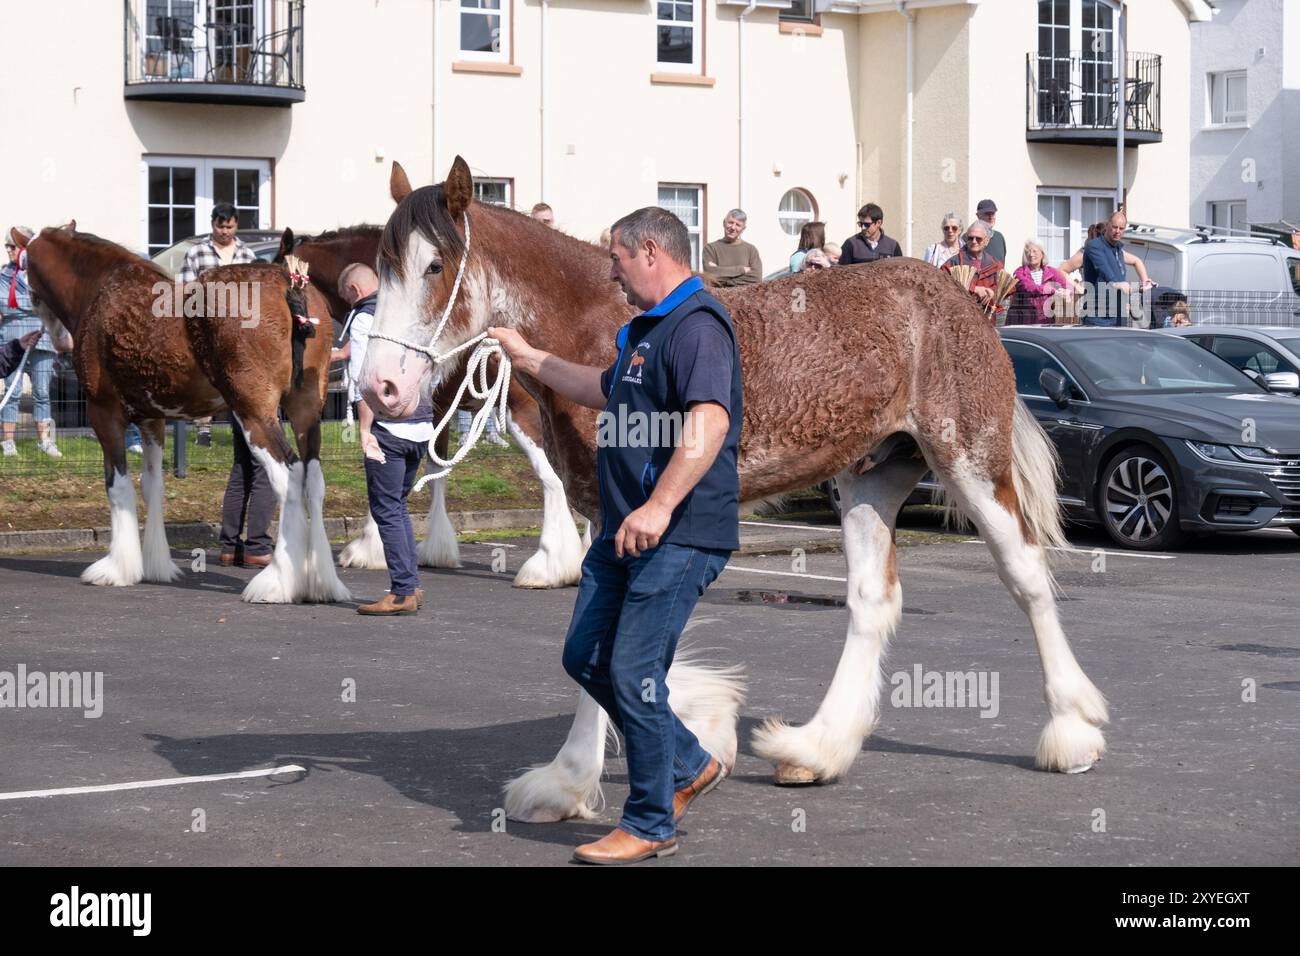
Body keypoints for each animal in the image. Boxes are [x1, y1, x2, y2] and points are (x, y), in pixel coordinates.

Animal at [25, 223, 351, 606]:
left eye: (23, 272)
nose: (59, 344)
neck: (100, 290)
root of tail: (289, 282)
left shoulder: (104, 413)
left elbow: (117, 486)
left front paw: (117, 569)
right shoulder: (152, 419)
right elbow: (152, 485)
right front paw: (155, 565)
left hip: (255, 414)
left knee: (289, 476)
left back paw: (277, 583)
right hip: (305, 411)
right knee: (313, 479)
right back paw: (321, 584)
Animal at [282, 226, 592, 590]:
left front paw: (368, 548)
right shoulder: (438, 411)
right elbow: (434, 472)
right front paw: (438, 548)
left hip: (522, 415)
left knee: (553, 481)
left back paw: (548, 566)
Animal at [356, 158, 1107, 822]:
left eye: (434, 266)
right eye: (385, 268)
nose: (380, 387)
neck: (602, 330)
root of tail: (966, 300)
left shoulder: (627, 518)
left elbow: (608, 649)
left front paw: (571, 779)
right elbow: (609, 645)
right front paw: (683, 725)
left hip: (970, 462)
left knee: (1027, 577)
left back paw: (1072, 731)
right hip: (868, 479)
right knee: (873, 602)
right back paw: (817, 748)